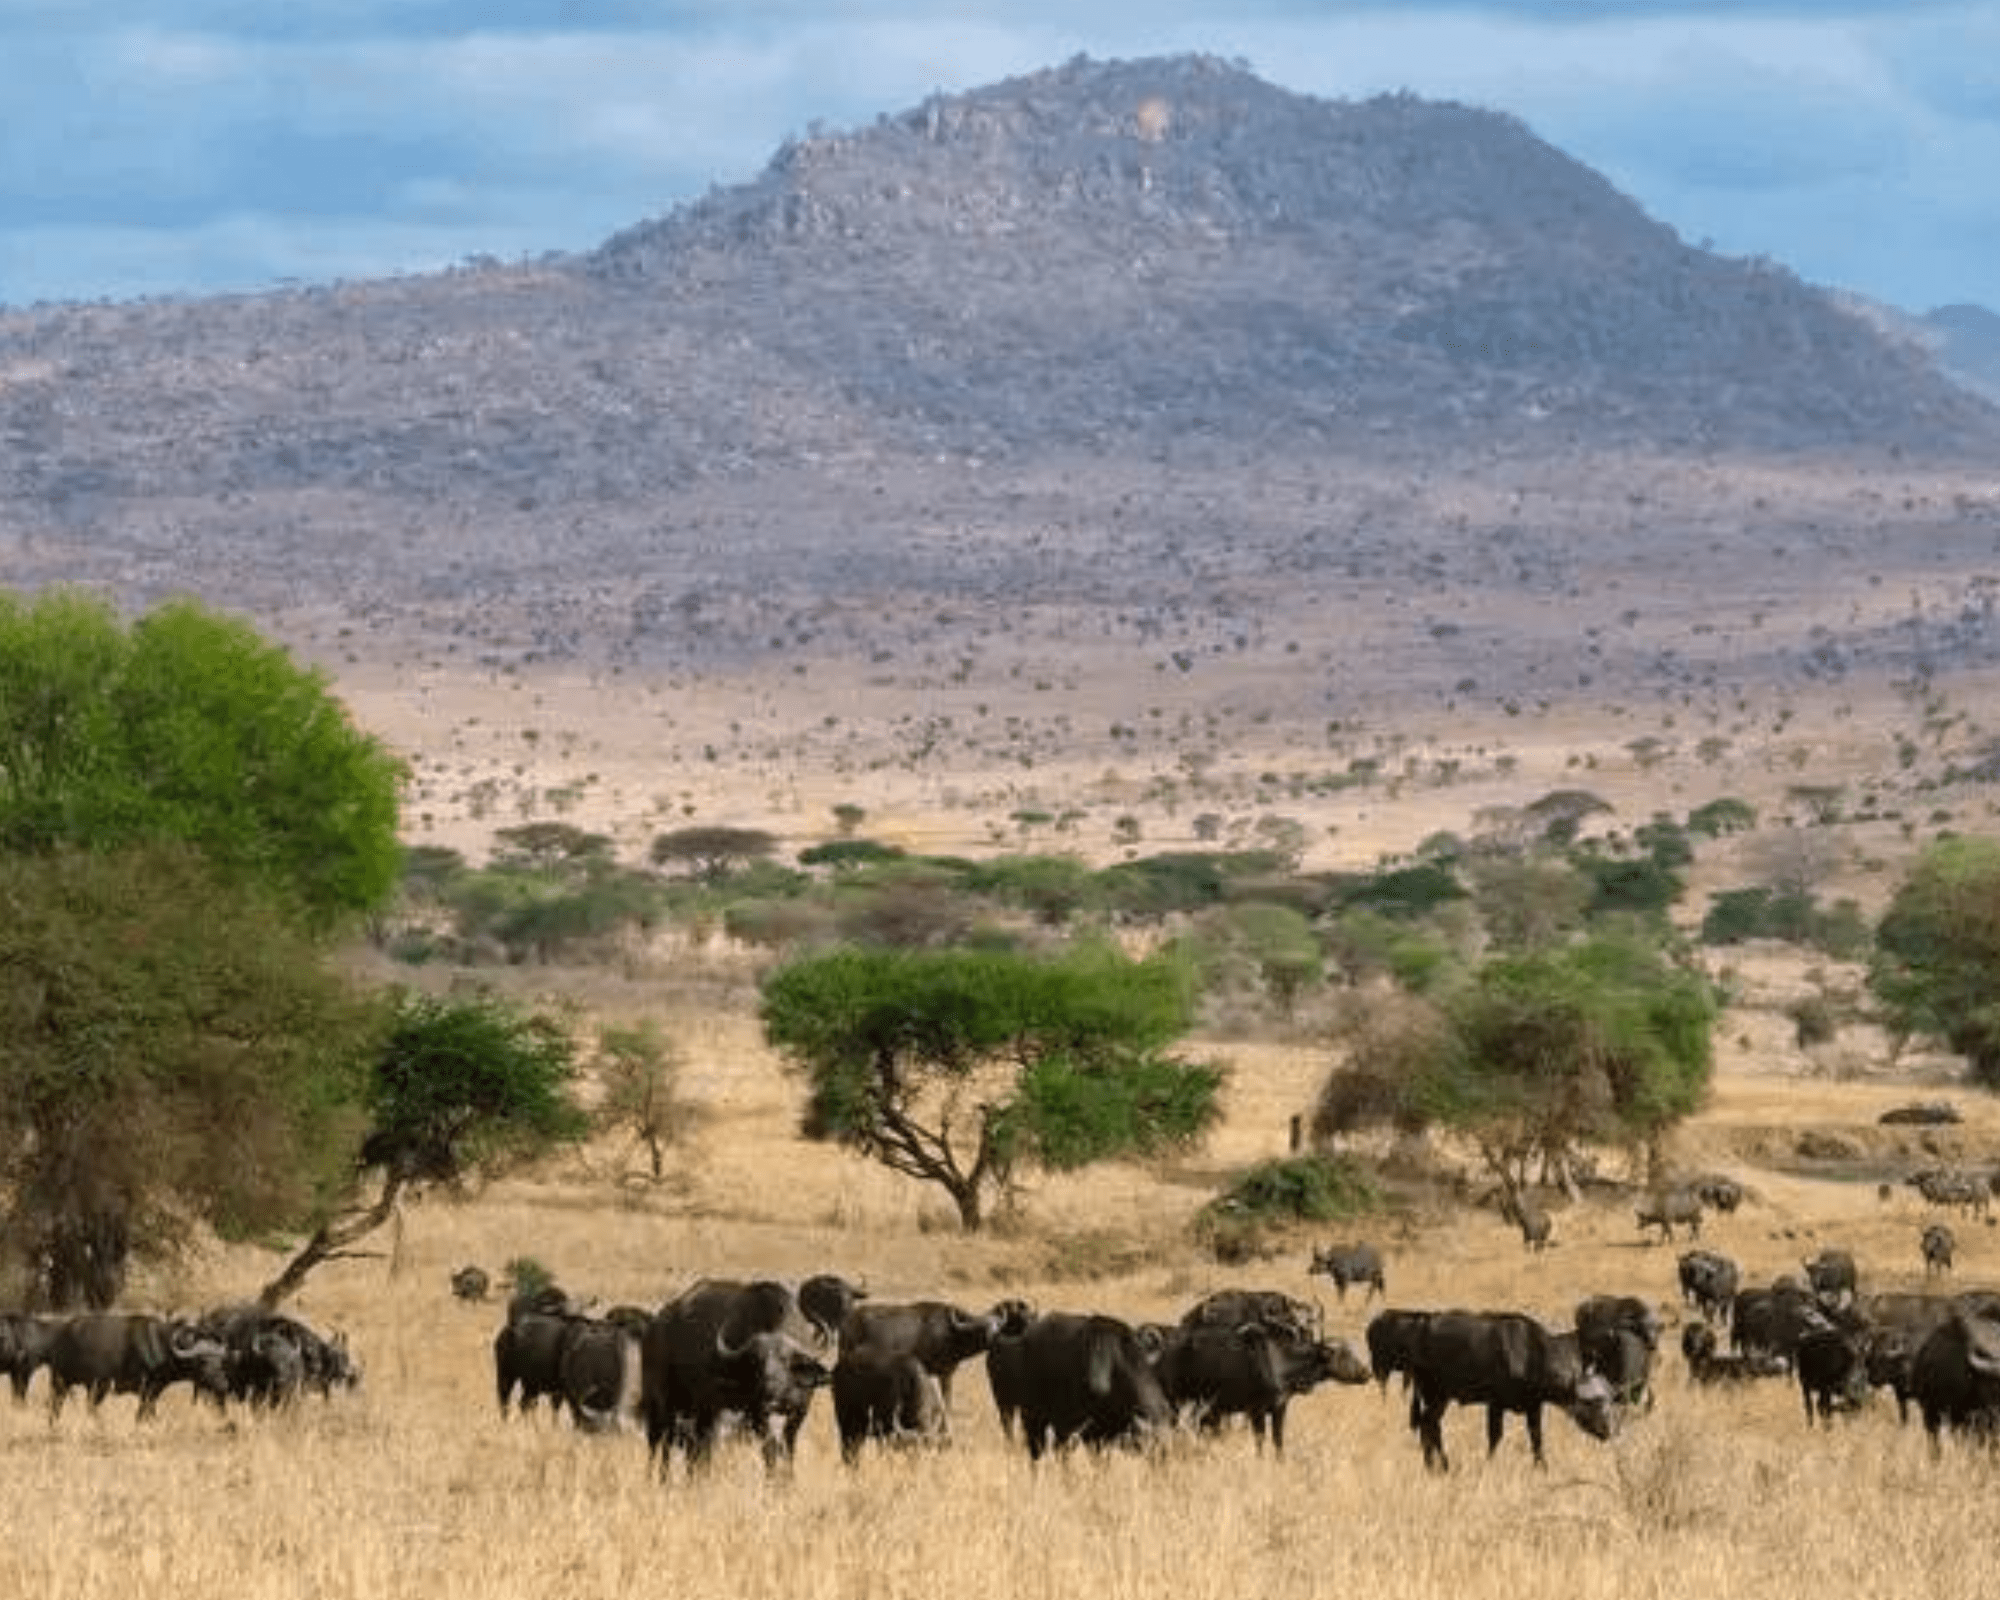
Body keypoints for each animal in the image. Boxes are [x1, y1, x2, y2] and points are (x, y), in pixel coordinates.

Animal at [43, 1320, 234, 1416]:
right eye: (202, 1361)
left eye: (219, 1360)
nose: (223, 1385)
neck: (161, 1347)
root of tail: (60, 1336)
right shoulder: (146, 1391)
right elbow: (142, 1414)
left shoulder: (153, 1392)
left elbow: (148, 1414)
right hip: (76, 1384)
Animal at [984, 1312, 1168, 1464]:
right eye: (1090, 1353)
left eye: (1114, 1356)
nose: (1097, 1385)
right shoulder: (1075, 1429)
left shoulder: (1100, 1436)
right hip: (1026, 1414)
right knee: (1037, 1449)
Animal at [1152, 1320, 1368, 1456]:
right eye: (1343, 1354)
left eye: (1350, 1351)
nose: (1366, 1373)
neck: (1281, 1362)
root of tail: (1163, 1354)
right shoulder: (1256, 1410)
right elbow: (1260, 1440)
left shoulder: (1280, 1408)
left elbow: (1278, 1440)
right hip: (1176, 1403)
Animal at [1400, 1312, 1616, 1472]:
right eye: (1592, 1402)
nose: (1607, 1431)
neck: (1530, 1356)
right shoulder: (1495, 1404)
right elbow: (1495, 1437)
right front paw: (1489, 1465)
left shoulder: (1533, 1407)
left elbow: (1537, 1439)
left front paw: (1543, 1468)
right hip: (1437, 1395)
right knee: (1428, 1424)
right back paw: (1439, 1465)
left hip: (1438, 1397)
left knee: (1430, 1426)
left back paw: (1436, 1466)